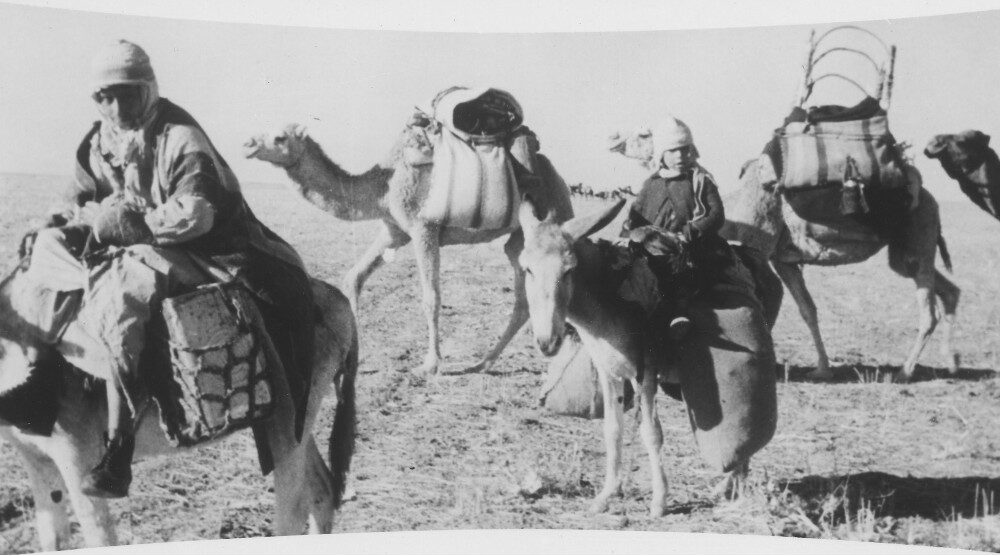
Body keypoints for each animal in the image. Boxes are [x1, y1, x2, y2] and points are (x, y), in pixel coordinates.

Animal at [0, 252, 358, 550]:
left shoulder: (76, 458)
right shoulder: (37, 460)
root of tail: (338, 300)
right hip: (293, 426)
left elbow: (99, 538)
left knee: (294, 510)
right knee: (323, 491)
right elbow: (53, 539)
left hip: (287, 425)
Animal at [244, 124, 573, 375]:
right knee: (523, 295)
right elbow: (354, 278)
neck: (383, 186)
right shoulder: (394, 231)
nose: (247, 143)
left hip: (552, 217)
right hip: (518, 238)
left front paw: (430, 364)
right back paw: (483, 363)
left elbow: (431, 297)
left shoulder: (423, 228)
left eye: (280, 137)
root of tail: (557, 175)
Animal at [609, 129, 960, 381]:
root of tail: (931, 198)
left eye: (644, 133)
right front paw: (822, 369)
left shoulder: (758, 250)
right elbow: (807, 310)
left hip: (918, 234)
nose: (613, 139)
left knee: (929, 309)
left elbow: (768, 297)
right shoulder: (783, 260)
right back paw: (952, 363)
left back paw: (906, 371)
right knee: (949, 290)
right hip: (906, 252)